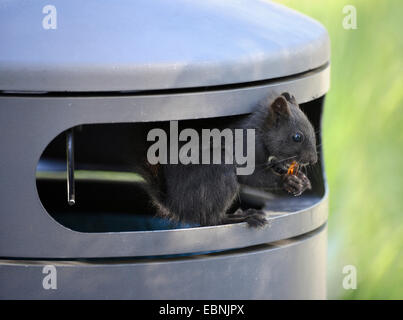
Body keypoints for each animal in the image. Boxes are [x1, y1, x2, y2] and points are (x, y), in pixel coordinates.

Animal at [140, 92, 318, 228]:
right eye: (297, 137)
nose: (313, 160)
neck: (260, 131)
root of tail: (175, 205)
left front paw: (301, 179)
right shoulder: (245, 147)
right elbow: (252, 176)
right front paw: (287, 181)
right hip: (218, 168)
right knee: (211, 220)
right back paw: (245, 216)